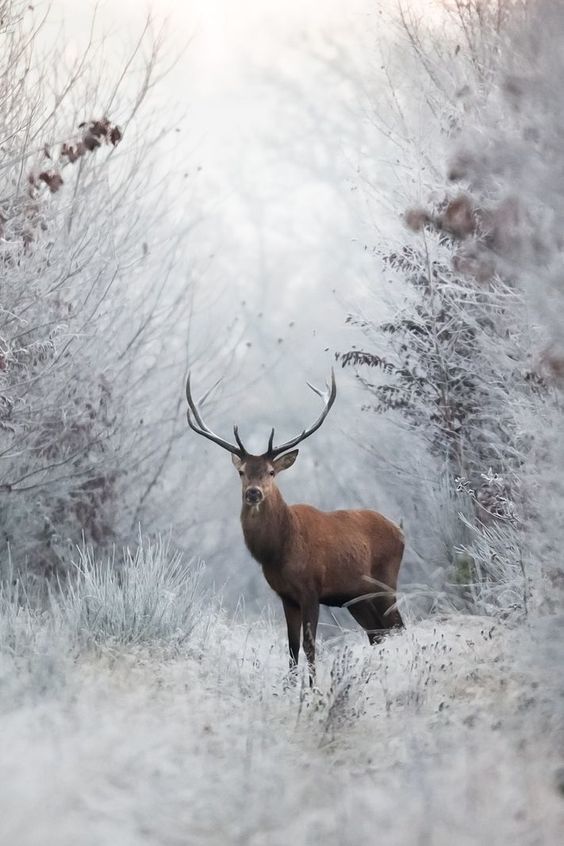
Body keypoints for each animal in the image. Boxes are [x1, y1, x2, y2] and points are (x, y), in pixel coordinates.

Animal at [186, 368, 406, 684]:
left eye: (271, 471)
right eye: (242, 471)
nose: (254, 492)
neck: (280, 550)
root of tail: (401, 531)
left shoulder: (311, 589)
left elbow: (309, 646)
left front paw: (312, 689)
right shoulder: (286, 596)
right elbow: (291, 647)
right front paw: (290, 687)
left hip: (386, 581)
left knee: (397, 628)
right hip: (357, 598)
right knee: (378, 634)